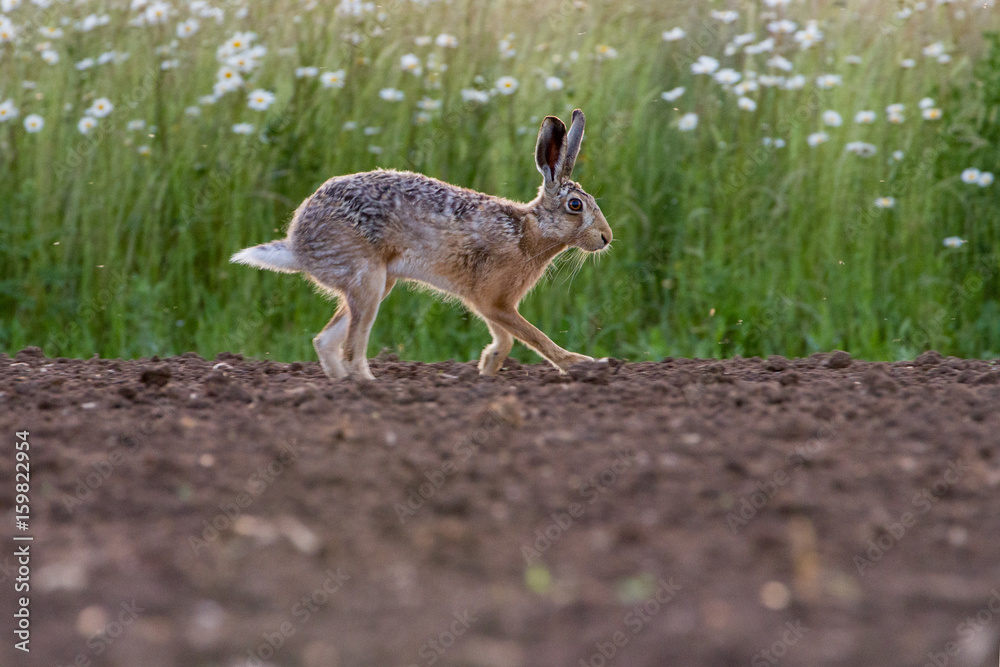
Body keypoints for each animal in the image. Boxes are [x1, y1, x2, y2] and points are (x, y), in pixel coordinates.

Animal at [231, 109, 612, 380]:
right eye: (575, 205)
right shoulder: (494, 299)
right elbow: (533, 336)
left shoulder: (487, 302)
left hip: (378, 283)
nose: (606, 238)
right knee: (351, 351)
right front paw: (582, 364)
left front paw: (486, 368)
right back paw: (370, 388)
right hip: (367, 280)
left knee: (324, 342)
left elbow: (504, 338)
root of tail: (298, 243)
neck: (527, 232)